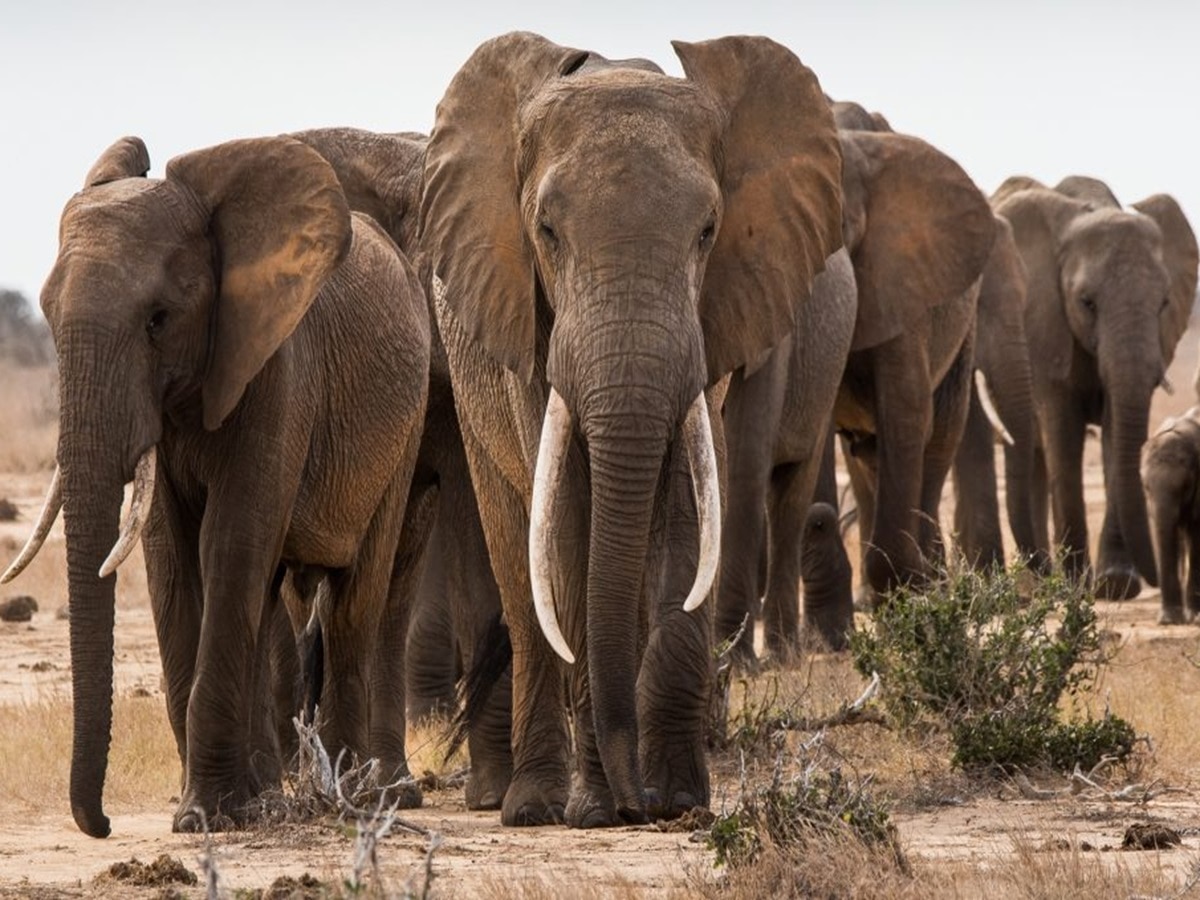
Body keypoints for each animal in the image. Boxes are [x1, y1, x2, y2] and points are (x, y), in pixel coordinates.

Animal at [0, 135, 432, 840]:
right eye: (46, 315)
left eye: (158, 320)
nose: (102, 824)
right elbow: (173, 559)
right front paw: (218, 812)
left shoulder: (279, 368)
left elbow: (230, 540)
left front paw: (203, 819)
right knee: (267, 598)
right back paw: (268, 797)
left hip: (407, 424)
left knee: (353, 604)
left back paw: (357, 798)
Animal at [422, 31, 844, 830]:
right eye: (546, 232)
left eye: (708, 231)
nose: (634, 803)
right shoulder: (533, 333)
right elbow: (569, 531)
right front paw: (595, 811)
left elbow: (687, 512)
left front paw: (678, 800)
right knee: (524, 585)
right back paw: (531, 805)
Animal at [830, 105, 998, 600]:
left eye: (842, 230)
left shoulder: (902, 282)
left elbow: (906, 410)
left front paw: (916, 581)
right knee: (864, 453)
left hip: (962, 329)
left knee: (938, 437)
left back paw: (932, 578)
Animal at [988, 176, 1195, 600]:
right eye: (1087, 303)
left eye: (1164, 303)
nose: (1156, 579)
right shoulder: (1045, 323)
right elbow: (1063, 432)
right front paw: (1075, 585)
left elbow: (1119, 431)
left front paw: (1115, 584)